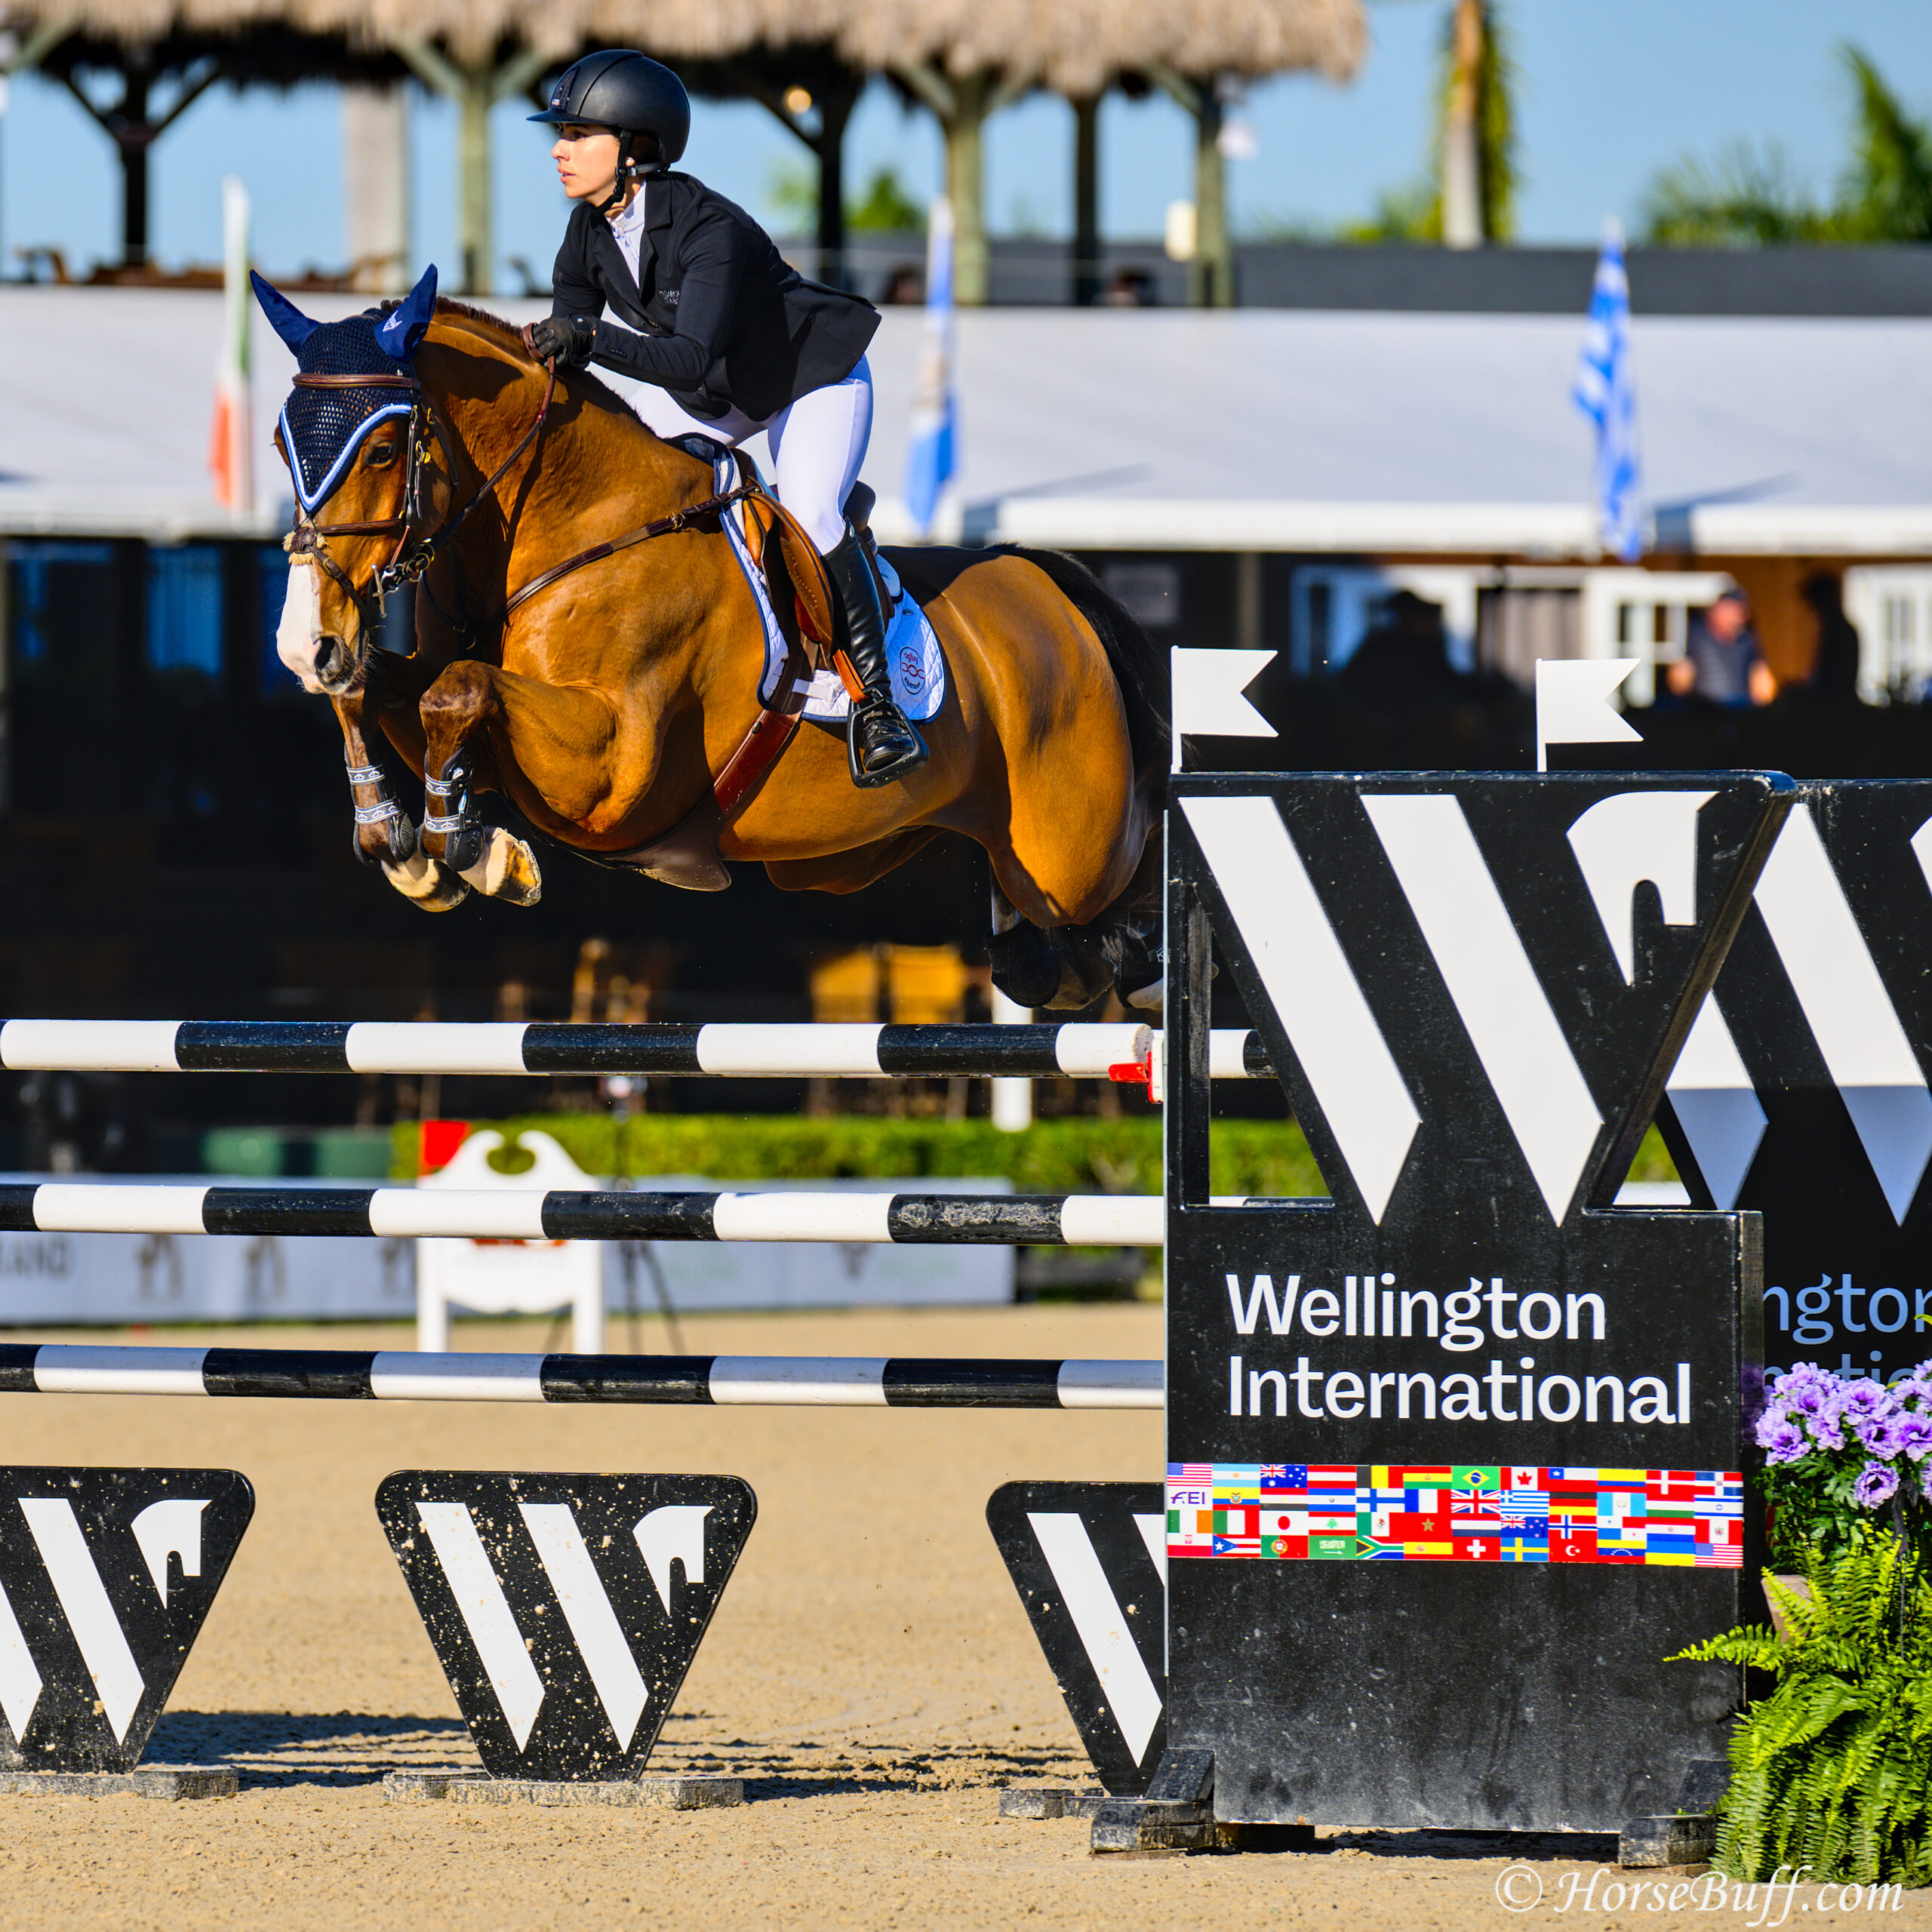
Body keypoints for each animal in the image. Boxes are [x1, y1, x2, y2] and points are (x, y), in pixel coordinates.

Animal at [257, 272, 1159, 1012]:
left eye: (381, 449)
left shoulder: (613, 777)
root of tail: (1045, 582)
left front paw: (477, 853)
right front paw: (404, 847)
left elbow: (460, 690)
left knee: (1128, 890)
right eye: (279, 443)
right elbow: (382, 691)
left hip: (1075, 859)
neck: (576, 524)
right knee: (1053, 961)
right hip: (859, 855)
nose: (304, 645)